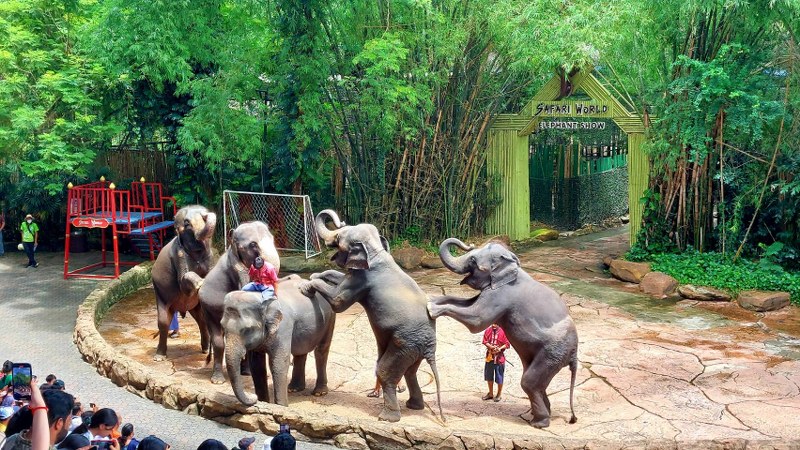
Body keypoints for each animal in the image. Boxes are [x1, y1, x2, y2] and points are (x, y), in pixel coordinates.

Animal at [152, 205, 217, 361]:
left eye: (204, 215)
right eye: (187, 224)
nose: (207, 214)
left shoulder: (210, 255)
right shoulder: (178, 253)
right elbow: (183, 281)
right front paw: (200, 283)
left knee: (201, 319)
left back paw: (206, 350)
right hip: (159, 292)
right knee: (163, 321)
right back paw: (159, 357)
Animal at [198, 221, 281, 383]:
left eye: (273, 239)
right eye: (253, 244)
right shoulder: (236, 270)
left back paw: (246, 373)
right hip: (207, 308)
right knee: (218, 340)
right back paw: (218, 380)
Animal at [221, 274, 337, 406]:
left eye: (247, 329)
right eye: (222, 327)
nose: (253, 396)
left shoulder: (283, 327)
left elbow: (278, 363)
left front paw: (281, 406)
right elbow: (257, 365)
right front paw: (264, 402)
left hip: (330, 318)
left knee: (321, 351)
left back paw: (319, 392)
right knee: (300, 351)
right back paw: (294, 388)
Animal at [300, 209, 443, 423]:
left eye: (339, 238)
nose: (340, 221)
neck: (376, 251)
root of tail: (431, 348)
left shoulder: (363, 280)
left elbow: (338, 301)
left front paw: (306, 286)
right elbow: (338, 278)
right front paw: (315, 276)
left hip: (405, 344)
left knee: (386, 371)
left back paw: (387, 418)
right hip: (414, 348)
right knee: (410, 371)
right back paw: (414, 406)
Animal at [428, 238, 578, 429]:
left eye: (473, 261)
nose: (469, 244)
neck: (513, 265)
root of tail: (574, 355)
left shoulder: (502, 295)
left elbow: (477, 319)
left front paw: (430, 308)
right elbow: (466, 303)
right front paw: (432, 299)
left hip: (555, 351)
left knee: (529, 382)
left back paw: (538, 423)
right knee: (537, 382)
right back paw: (539, 415)